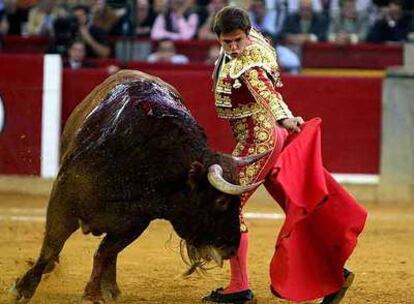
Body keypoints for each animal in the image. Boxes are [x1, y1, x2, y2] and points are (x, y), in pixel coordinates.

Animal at [12, 70, 268, 302]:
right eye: (221, 201)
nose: (232, 247)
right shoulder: (65, 197)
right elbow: (52, 246)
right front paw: (22, 289)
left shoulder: (135, 222)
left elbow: (104, 253)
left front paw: (93, 293)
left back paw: (110, 289)